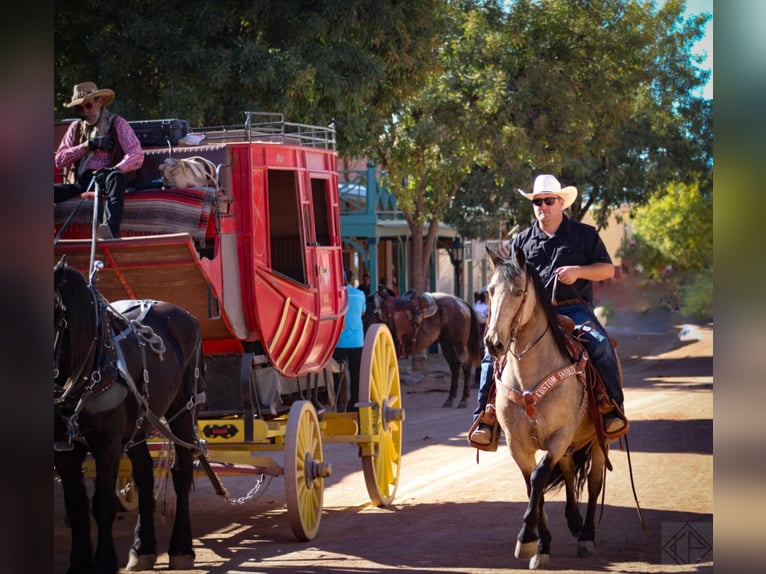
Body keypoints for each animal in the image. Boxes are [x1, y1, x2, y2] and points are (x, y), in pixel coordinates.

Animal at [53, 258, 207, 574]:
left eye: (55, 314)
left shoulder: (108, 444)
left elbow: (102, 505)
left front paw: (105, 562)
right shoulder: (63, 449)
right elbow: (76, 508)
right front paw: (79, 564)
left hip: (183, 413)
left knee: (182, 474)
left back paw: (181, 548)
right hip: (139, 423)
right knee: (145, 475)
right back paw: (143, 548)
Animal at [486, 248, 624, 572]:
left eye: (519, 291)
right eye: (490, 291)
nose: (493, 343)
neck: (529, 377)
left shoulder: (559, 436)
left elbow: (539, 477)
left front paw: (526, 538)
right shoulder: (517, 444)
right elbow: (531, 487)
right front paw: (541, 545)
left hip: (598, 442)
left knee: (594, 482)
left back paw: (586, 535)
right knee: (569, 470)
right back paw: (573, 520)